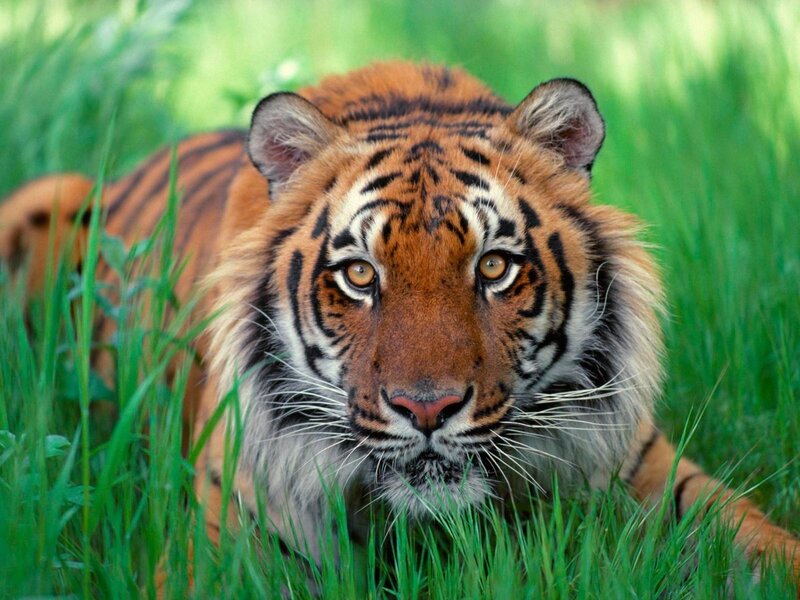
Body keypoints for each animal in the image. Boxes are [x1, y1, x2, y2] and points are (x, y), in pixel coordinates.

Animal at [1, 61, 798, 590]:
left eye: (494, 267)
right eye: (360, 276)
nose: (427, 409)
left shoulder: (646, 469)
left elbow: (760, 543)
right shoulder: (226, 537)